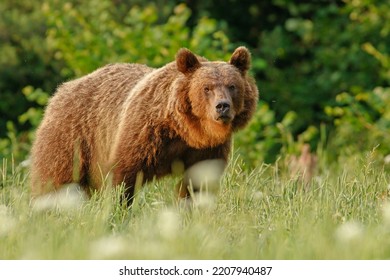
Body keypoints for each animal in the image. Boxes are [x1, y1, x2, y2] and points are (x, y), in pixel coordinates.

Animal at [30, 46, 258, 206]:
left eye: (232, 86)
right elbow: (123, 176)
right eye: (207, 88)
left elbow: (198, 184)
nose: (222, 106)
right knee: (57, 178)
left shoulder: (207, 150)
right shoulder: (144, 133)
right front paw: (118, 209)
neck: (187, 131)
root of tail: (62, 89)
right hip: (73, 136)